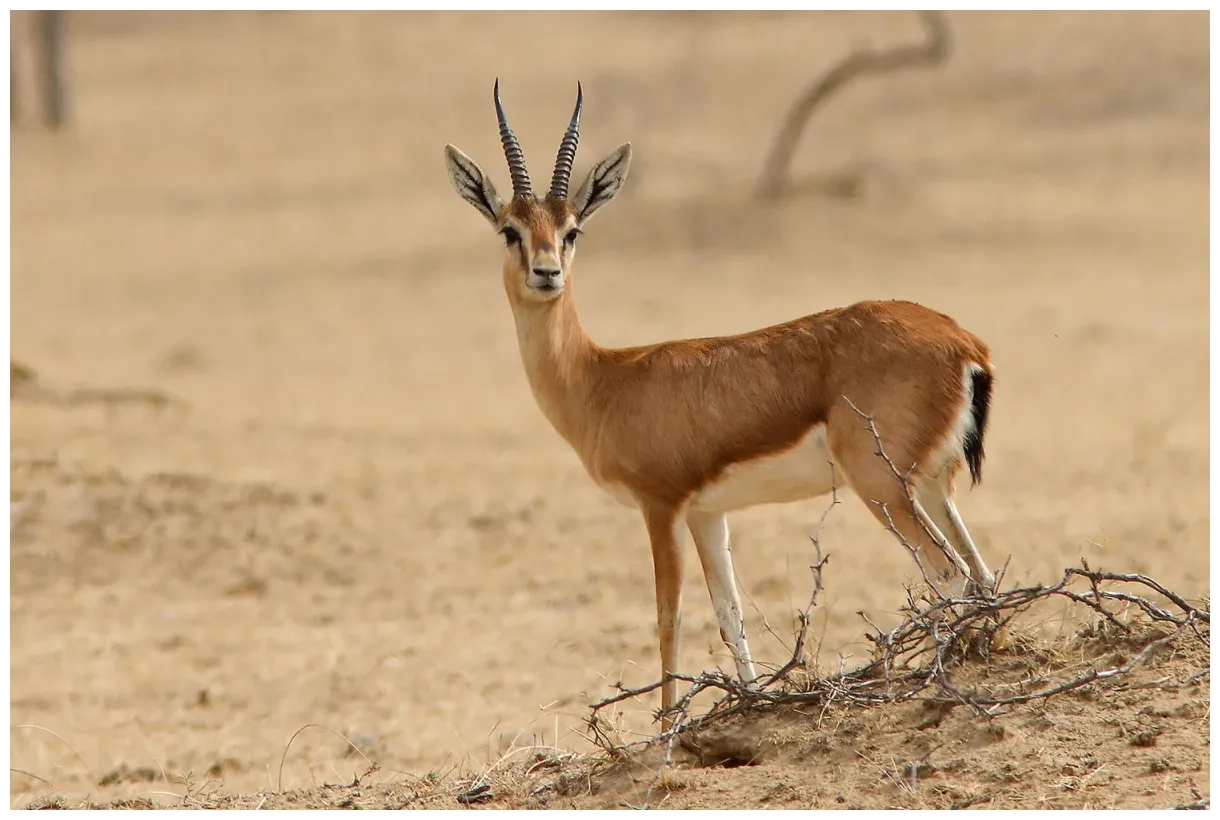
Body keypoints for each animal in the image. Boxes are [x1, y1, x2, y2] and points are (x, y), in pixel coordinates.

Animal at [444, 81, 997, 728]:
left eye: (573, 229)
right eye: (510, 228)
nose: (546, 272)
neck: (603, 379)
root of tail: (963, 341)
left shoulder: (660, 507)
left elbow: (669, 621)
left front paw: (665, 732)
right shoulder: (708, 514)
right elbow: (729, 613)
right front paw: (752, 705)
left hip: (881, 485)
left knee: (948, 575)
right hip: (930, 484)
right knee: (981, 575)